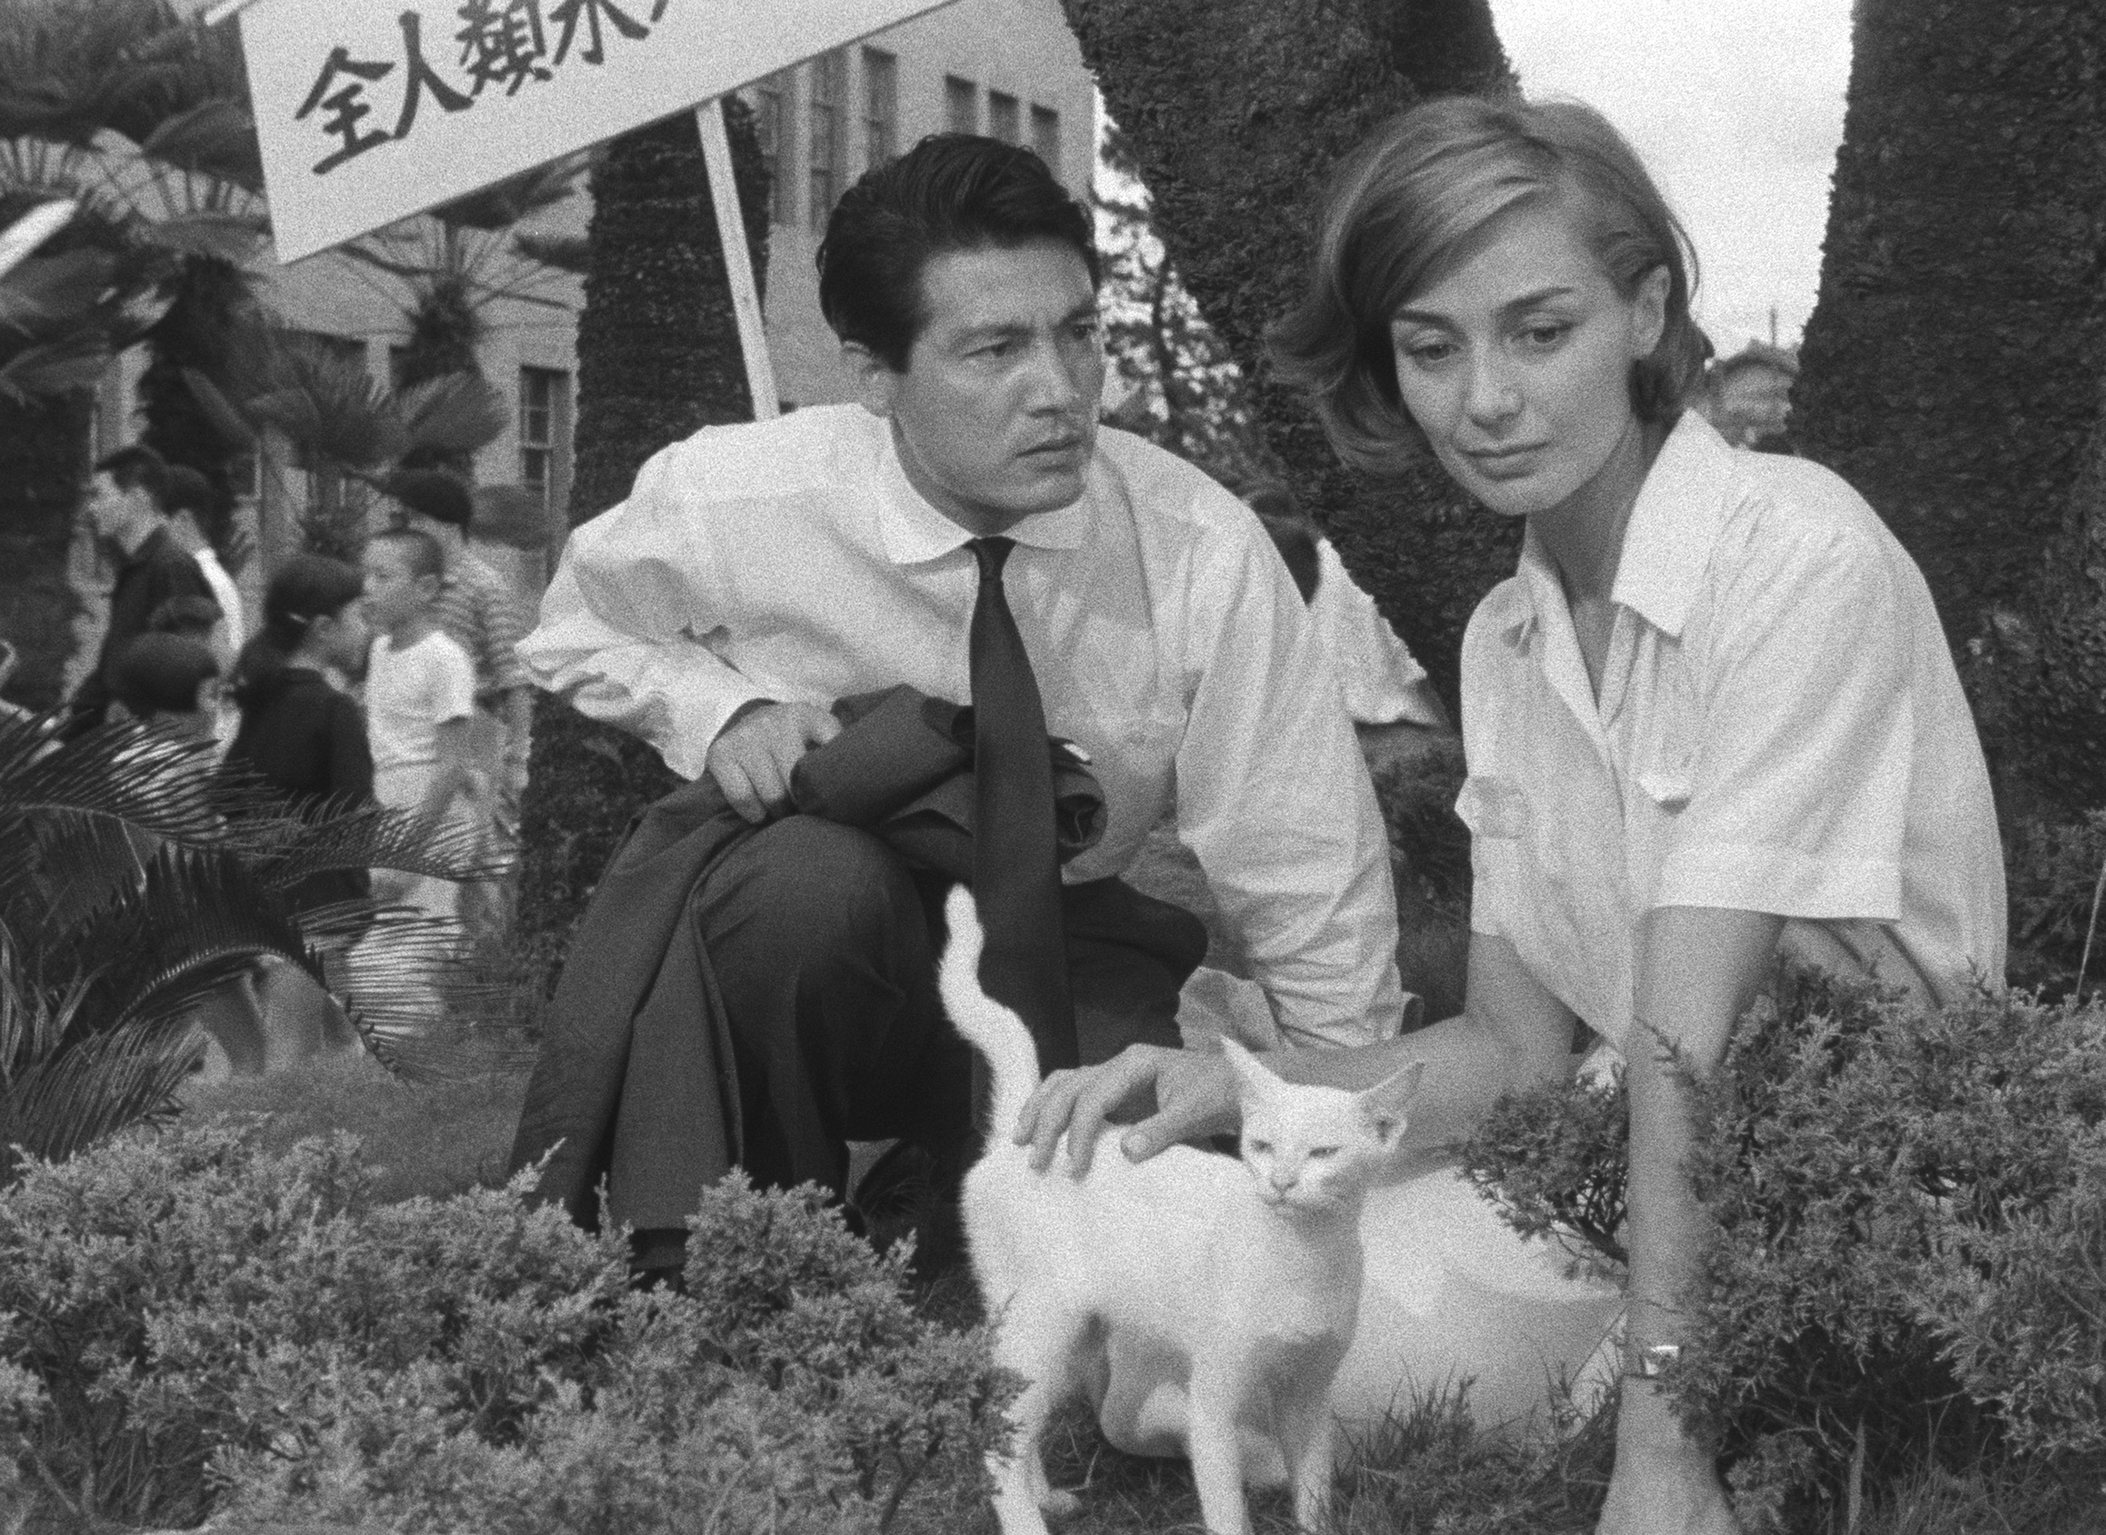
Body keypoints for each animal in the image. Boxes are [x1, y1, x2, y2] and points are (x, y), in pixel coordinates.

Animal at [943, 884, 1423, 1532]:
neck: (1303, 1253)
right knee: (997, 1434)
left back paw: (1046, 1497)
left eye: (1324, 1152)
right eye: (1260, 1145)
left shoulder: (1308, 1394)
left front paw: (1317, 1520)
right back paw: (1026, 1518)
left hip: (1068, 1338)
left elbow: (1314, 1489)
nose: (1281, 1182)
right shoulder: (1212, 1403)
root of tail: (1019, 1136)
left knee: (1016, 1426)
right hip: (1045, 1322)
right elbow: (1227, 1510)